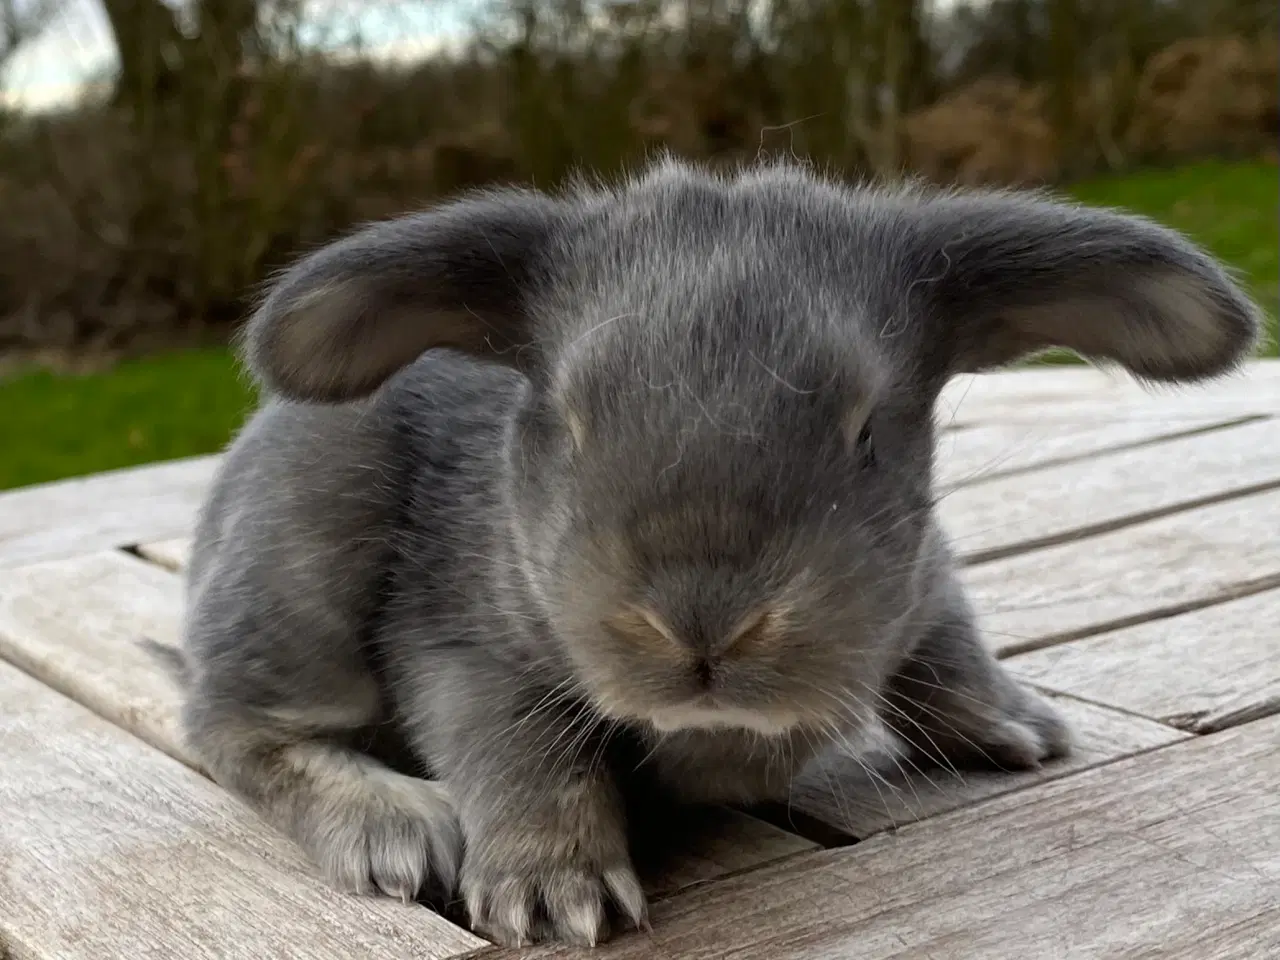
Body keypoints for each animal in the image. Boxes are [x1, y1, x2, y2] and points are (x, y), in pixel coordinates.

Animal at [175, 154, 1264, 952]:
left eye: (864, 428)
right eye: (570, 421)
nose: (704, 625)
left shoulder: (922, 584)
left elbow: (949, 642)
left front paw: (1013, 726)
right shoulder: (461, 653)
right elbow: (521, 753)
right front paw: (551, 892)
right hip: (301, 560)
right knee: (238, 731)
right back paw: (396, 826)